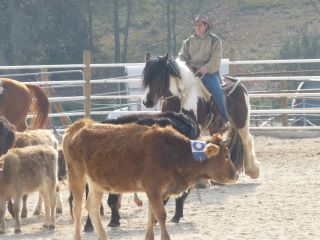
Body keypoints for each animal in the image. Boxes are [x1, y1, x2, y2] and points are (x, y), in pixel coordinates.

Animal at [63, 118, 238, 240]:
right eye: (226, 156)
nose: (236, 175)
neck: (174, 153)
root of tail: (80, 126)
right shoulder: (153, 190)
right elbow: (160, 215)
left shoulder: (156, 192)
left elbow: (151, 215)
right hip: (76, 175)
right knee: (77, 208)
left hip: (97, 183)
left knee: (92, 207)